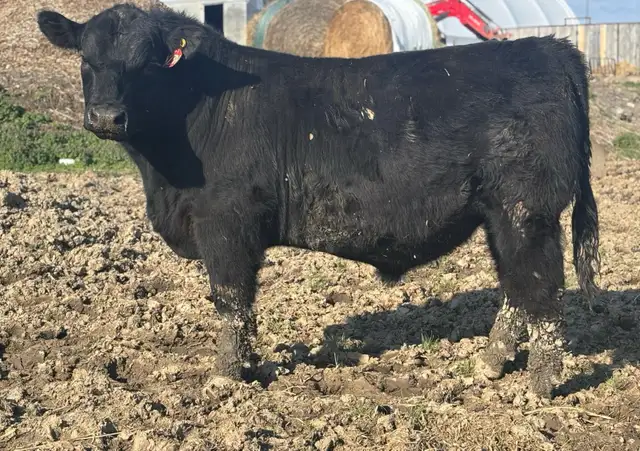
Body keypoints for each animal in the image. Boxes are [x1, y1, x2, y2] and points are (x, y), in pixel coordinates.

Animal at [37, 3, 600, 398]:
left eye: (147, 65)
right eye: (86, 60)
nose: (106, 117)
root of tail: (550, 49)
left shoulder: (226, 222)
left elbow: (231, 302)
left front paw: (225, 377)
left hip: (527, 210)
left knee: (543, 294)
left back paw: (538, 387)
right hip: (501, 217)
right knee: (517, 289)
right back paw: (488, 365)